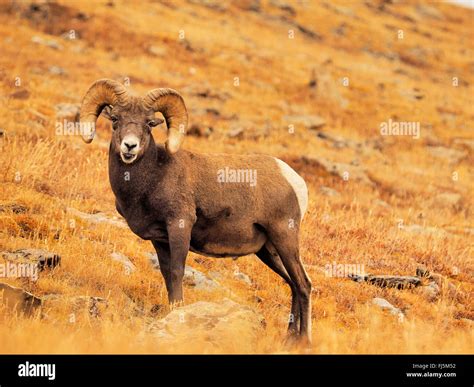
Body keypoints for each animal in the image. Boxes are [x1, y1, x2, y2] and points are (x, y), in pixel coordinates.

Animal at [79, 79, 312, 342]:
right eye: (115, 119)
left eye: (149, 123)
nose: (130, 146)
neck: (153, 177)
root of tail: (294, 180)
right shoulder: (160, 240)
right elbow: (167, 275)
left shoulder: (180, 226)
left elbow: (177, 272)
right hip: (268, 251)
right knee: (293, 284)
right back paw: (290, 337)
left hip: (285, 239)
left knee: (303, 284)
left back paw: (304, 340)